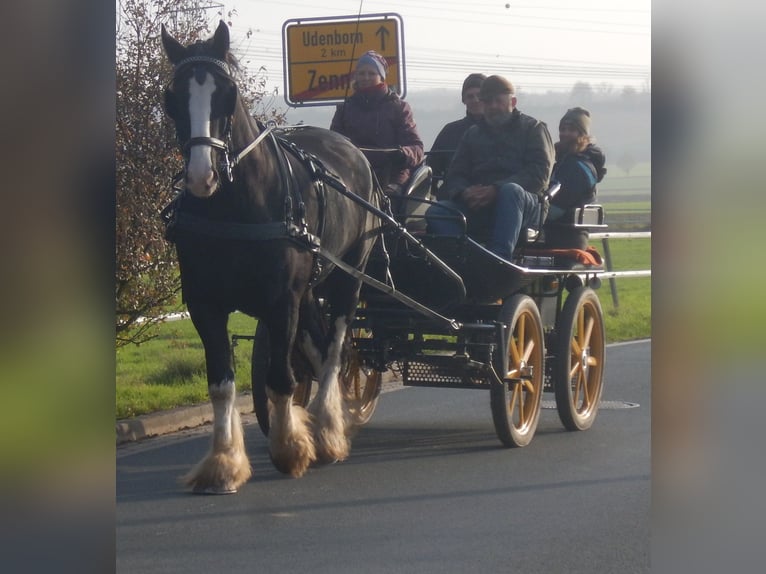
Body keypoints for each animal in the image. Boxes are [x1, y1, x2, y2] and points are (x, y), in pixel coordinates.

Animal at [160, 21, 381, 493]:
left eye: (227, 92)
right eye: (172, 97)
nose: (201, 175)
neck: (236, 207)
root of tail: (353, 150)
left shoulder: (281, 301)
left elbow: (281, 378)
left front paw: (290, 450)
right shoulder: (204, 303)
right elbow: (221, 383)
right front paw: (223, 463)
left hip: (348, 277)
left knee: (335, 349)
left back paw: (328, 429)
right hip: (312, 286)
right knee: (317, 347)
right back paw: (322, 423)